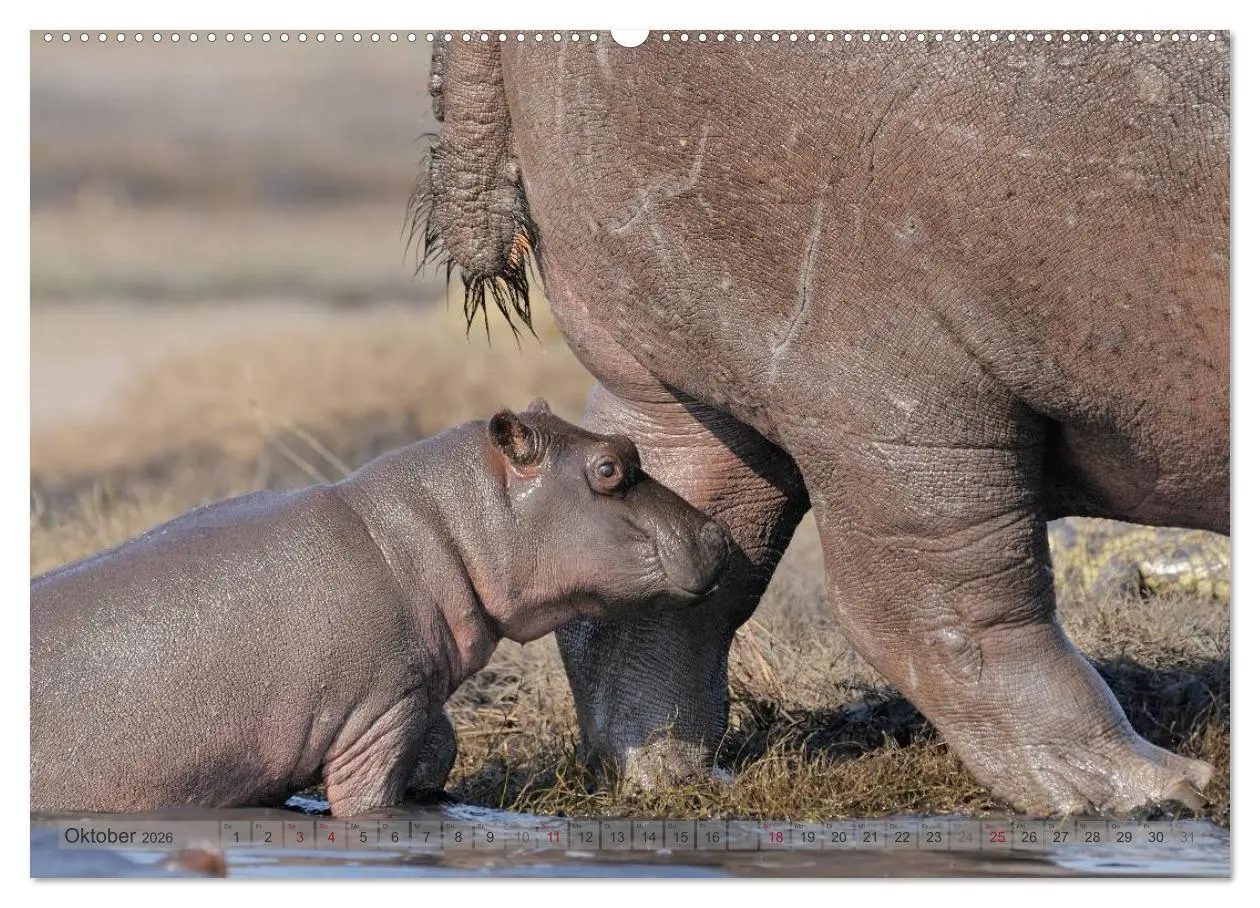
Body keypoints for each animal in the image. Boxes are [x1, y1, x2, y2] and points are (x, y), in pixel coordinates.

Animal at [30, 401, 731, 816]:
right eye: (610, 467)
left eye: (626, 445)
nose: (718, 532)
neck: (435, 529)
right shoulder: (378, 712)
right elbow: (373, 795)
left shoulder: (413, 690)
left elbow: (441, 742)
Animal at [414, 33, 1228, 815]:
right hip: (895, 381)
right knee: (940, 597)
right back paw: (1153, 788)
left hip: (676, 372)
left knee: (658, 590)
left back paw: (678, 781)